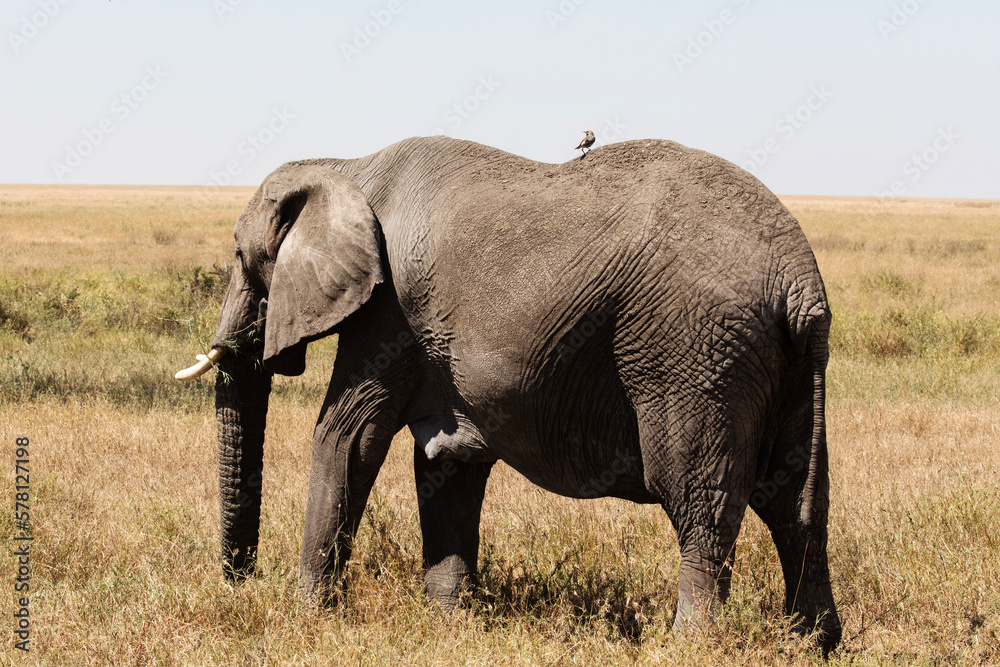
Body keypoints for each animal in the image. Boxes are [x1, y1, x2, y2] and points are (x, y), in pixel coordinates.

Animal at [176, 136, 841, 650]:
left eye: (241, 256)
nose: (240, 580)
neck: (345, 165)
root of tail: (799, 278)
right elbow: (446, 460)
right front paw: (451, 625)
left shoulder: (389, 315)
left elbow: (348, 436)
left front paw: (309, 617)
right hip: (784, 361)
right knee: (797, 504)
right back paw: (815, 645)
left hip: (696, 354)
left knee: (702, 502)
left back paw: (690, 646)